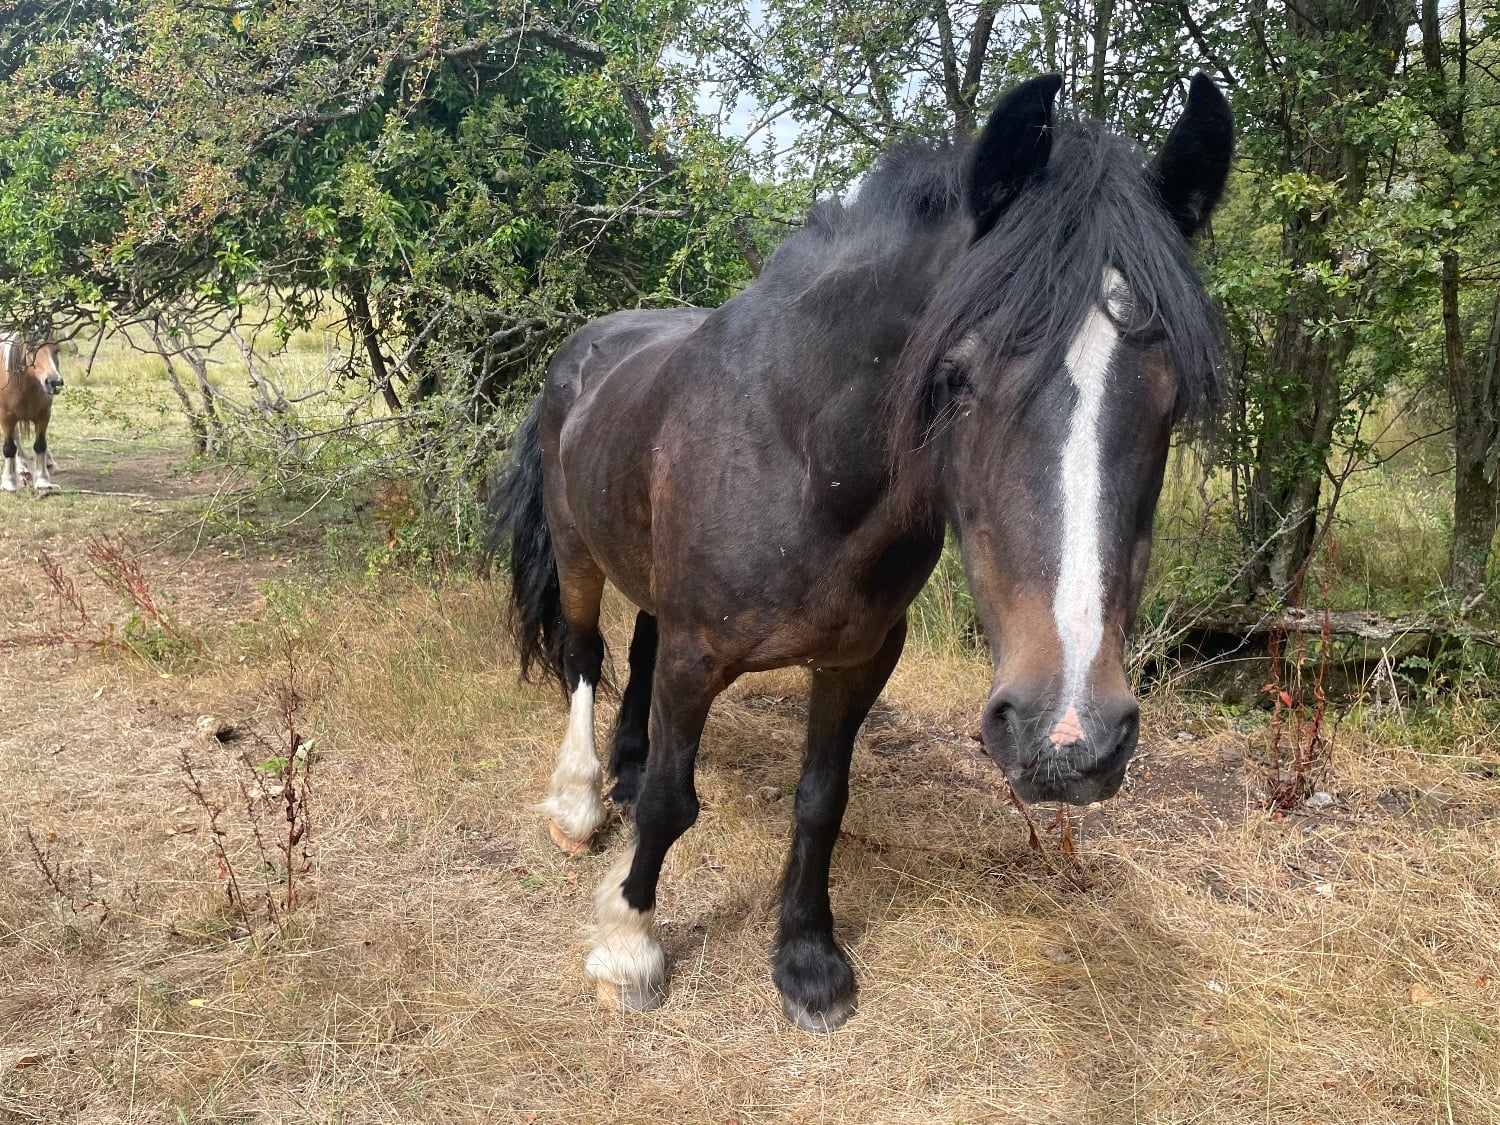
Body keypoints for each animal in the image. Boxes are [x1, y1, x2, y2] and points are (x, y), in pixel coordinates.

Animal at [1, 335, 64, 493]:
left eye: (56, 350)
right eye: (31, 350)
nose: (54, 382)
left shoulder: (43, 416)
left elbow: (40, 445)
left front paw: (43, 481)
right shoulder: (6, 417)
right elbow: (9, 448)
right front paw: (9, 482)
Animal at [489, 73, 1232, 1031]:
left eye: (1173, 397)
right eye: (957, 375)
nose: (1069, 737)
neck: (803, 453)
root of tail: (583, 349)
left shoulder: (861, 657)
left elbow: (821, 800)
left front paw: (807, 959)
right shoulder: (699, 654)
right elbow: (669, 801)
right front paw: (629, 940)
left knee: (637, 648)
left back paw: (619, 764)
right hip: (579, 553)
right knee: (586, 657)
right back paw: (581, 802)